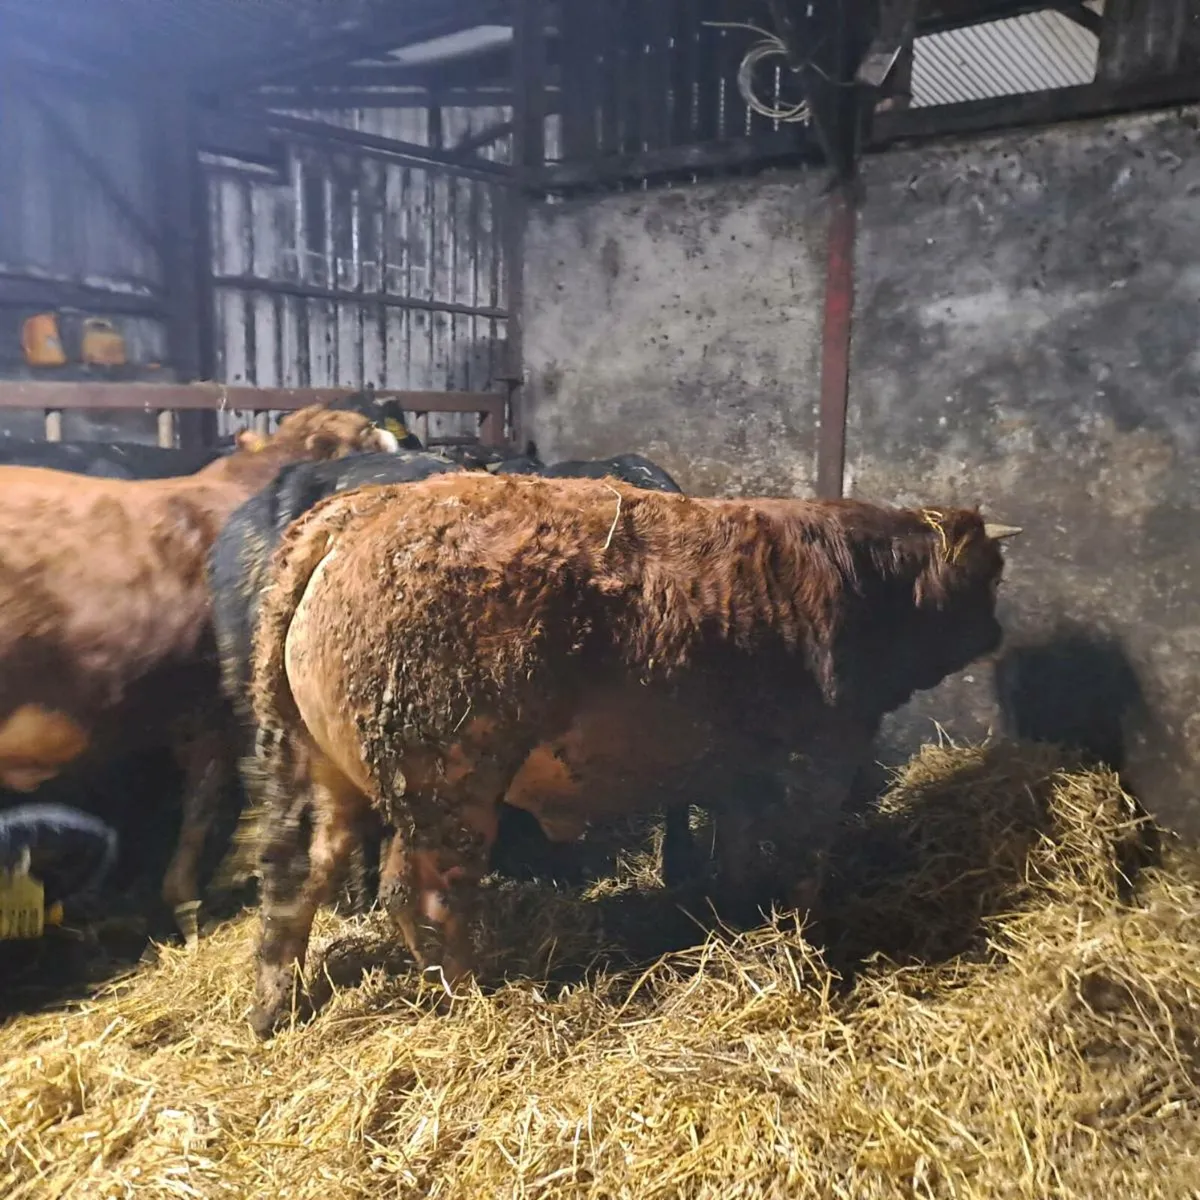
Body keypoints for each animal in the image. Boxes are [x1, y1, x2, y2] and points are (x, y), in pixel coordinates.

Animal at [245, 473, 1019, 1035]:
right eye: (991, 574)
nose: (997, 633)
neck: (859, 581)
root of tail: (358, 511)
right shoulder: (818, 759)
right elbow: (801, 865)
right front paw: (805, 950)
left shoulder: (740, 774)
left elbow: (739, 855)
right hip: (448, 775)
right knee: (423, 892)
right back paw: (472, 997)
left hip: (315, 766)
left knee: (296, 872)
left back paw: (272, 1006)